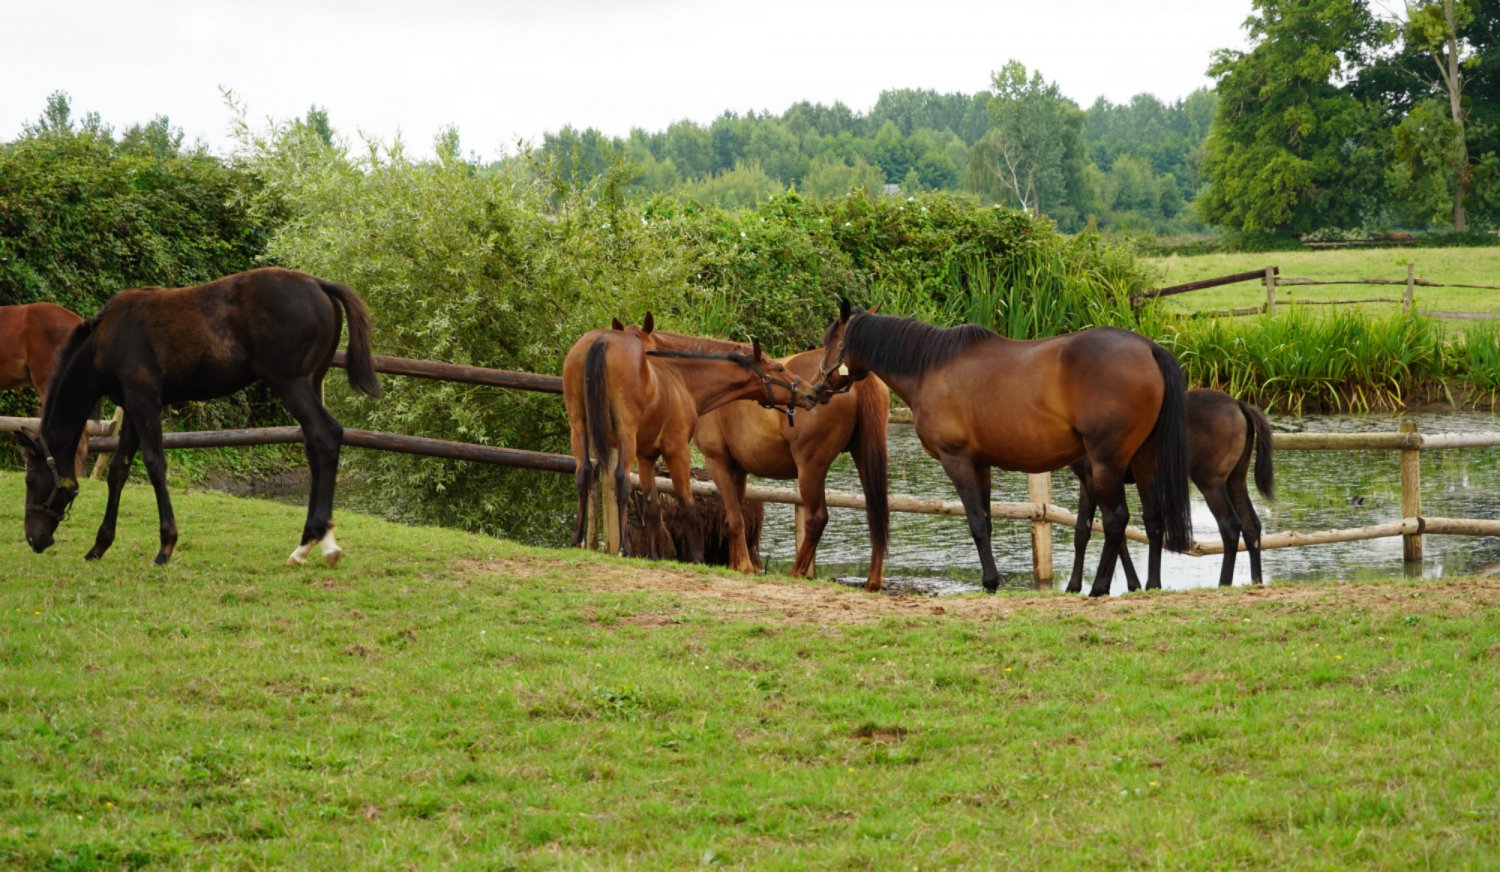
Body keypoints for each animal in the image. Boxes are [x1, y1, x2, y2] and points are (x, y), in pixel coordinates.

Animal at [14, 267, 382, 566]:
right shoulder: (133, 407)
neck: (106, 340)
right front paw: (99, 546)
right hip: (311, 382)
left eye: (31, 480)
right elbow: (118, 470)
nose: (34, 538)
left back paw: (314, 541)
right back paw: (315, 543)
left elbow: (155, 464)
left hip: (291, 383)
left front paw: (165, 547)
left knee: (326, 435)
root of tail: (319, 284)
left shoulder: (145, 402)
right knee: (315, 445)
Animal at [562, 314, 817, 563]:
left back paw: (576, 539)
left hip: (579, 428)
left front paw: (654, 556)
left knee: (583, 472)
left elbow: (652, 507)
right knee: (621, 480)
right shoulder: (678, 451)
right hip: (625, 434)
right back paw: (624, 547)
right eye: (779, 369)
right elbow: (688, 505)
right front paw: (696, 557)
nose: (811, 393)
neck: (681, 379)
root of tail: (601, 341)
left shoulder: (646, 456)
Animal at [690, 346, 890, 591]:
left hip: (811, 468)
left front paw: (744, 567)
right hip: (864, 458)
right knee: (876, 514)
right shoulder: (738, 470)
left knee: (817, 518)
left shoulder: (718, 462)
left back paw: (797, 571)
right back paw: (873, 581)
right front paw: (737, 564)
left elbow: (735, 518)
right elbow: (735, 516)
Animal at [812, 299, 1192, 597]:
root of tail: (1148, 349)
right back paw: (1152, 585)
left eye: (830, 340)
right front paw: (992, 580)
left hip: (1106, 463)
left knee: (1116, 521)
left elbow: (976, 523)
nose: (817, 387)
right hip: (1143, 459)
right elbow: (988, 522)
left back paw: (1098, 588)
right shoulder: (981, 464)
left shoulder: (957, 461)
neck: (929, 367)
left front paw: (990, 581)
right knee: (1152, 518)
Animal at [1069, 388, 1274, 590]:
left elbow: (1117, 535)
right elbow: (1082, 531)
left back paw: (1223, 584)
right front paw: (1073, 586)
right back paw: (1256, 582)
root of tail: (1238, 404)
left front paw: (1132, 584)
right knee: (1251, 526)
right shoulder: (1085, 482)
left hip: (1211, 483)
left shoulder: (1095, 479)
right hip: (1236, 481)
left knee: (1230, 526)